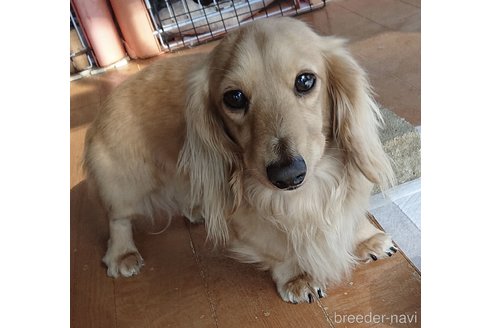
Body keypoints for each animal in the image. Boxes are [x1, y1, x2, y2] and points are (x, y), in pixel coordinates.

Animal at [83, 17, 396, 304]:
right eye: (234, 97)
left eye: (305, 80)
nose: (287, 175)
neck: (307, 194)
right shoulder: (250, 220)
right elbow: (279, 250)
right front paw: (298, 277)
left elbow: (353, 216)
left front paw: (367, 239)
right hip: (123, 185)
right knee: (118, 220)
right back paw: (123, 254)